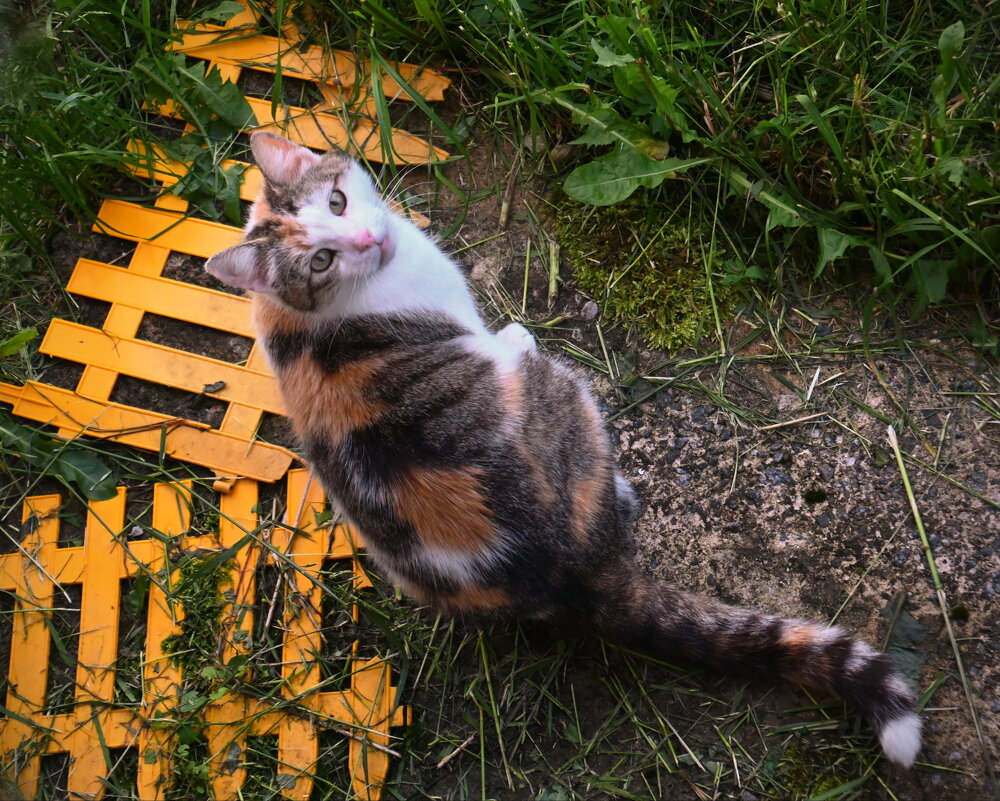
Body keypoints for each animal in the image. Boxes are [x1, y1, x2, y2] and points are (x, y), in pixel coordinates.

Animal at [209, 133, 920, 768]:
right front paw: (514, 331)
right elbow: (500, 335)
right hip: (563, 392)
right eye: (321, 262)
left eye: (335, 201)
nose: (365, 240)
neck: (304, 314)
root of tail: (577, 572)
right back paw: (620, 486)